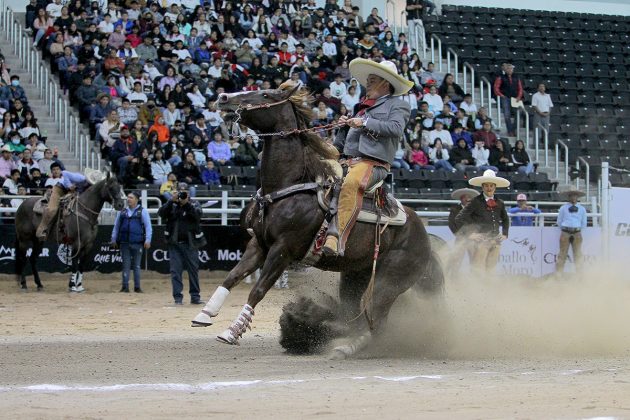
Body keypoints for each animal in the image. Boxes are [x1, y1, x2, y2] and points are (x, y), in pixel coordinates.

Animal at [195, 84, 446, 358]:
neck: (288, 187)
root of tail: (423, 234)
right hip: (355, 276)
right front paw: (205, 314)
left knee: (374, 319)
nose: (223, 97)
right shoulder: (258, 245)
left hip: (389, 280)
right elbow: (232, 276)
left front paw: (232, 331)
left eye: (266, 95)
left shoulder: (282, 250)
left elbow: (258, 289)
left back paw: (346, 348)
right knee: (357, 315)